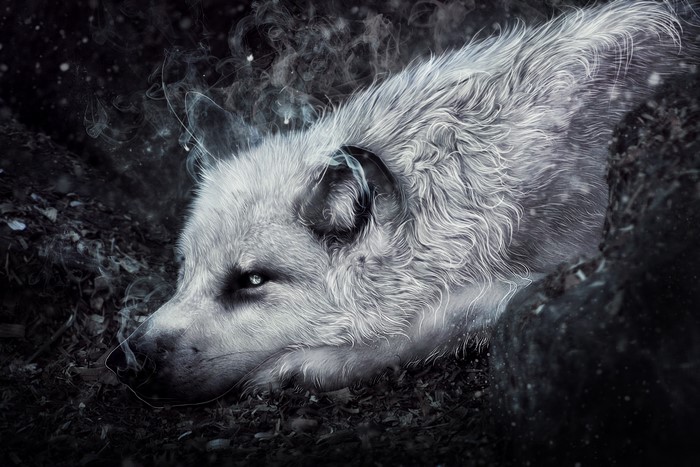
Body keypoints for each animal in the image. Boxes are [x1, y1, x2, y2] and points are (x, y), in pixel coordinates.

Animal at [107, 0, 698, 405]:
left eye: (251, 280)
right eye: (184, 272)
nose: (123, 360)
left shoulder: (564, 261)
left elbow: (426, 327)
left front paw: (297, 368)